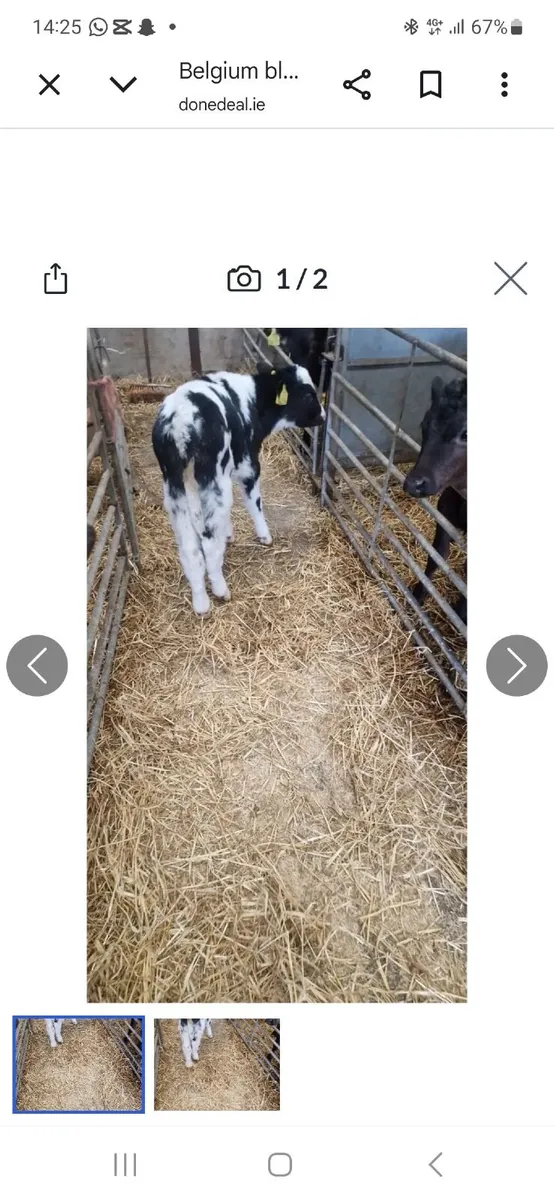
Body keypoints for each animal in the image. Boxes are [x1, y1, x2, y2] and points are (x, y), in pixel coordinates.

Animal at [152, 366, 324, 615]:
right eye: (308, 394)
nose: (323, 416)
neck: (251, 400)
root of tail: (180, 421)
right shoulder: (248, 465)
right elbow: (254, 503)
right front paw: (265, 536)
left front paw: (229, 533)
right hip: (213, 478)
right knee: (209, 541)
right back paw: (220, 590)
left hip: (174, 487)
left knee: (190, 547)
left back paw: (201, 603)